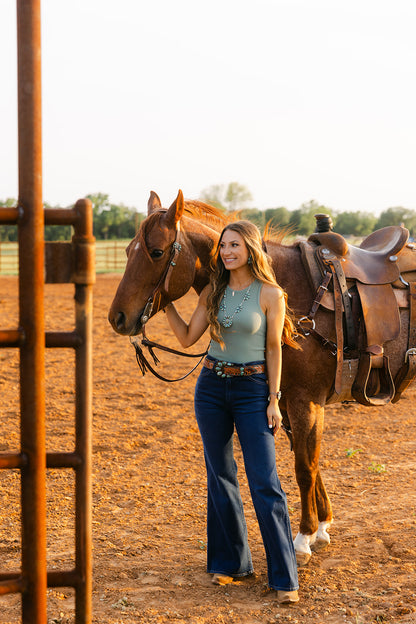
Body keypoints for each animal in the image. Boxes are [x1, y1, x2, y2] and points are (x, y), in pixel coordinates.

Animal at [108, 190, 412, 564]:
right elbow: (310, 460)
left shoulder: (306, 401)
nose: (118, 318)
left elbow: (304, 467)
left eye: (156, 252)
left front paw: (304, 538)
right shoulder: (288, 402)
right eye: (127, 251)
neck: (289, 288)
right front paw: (323, 526)